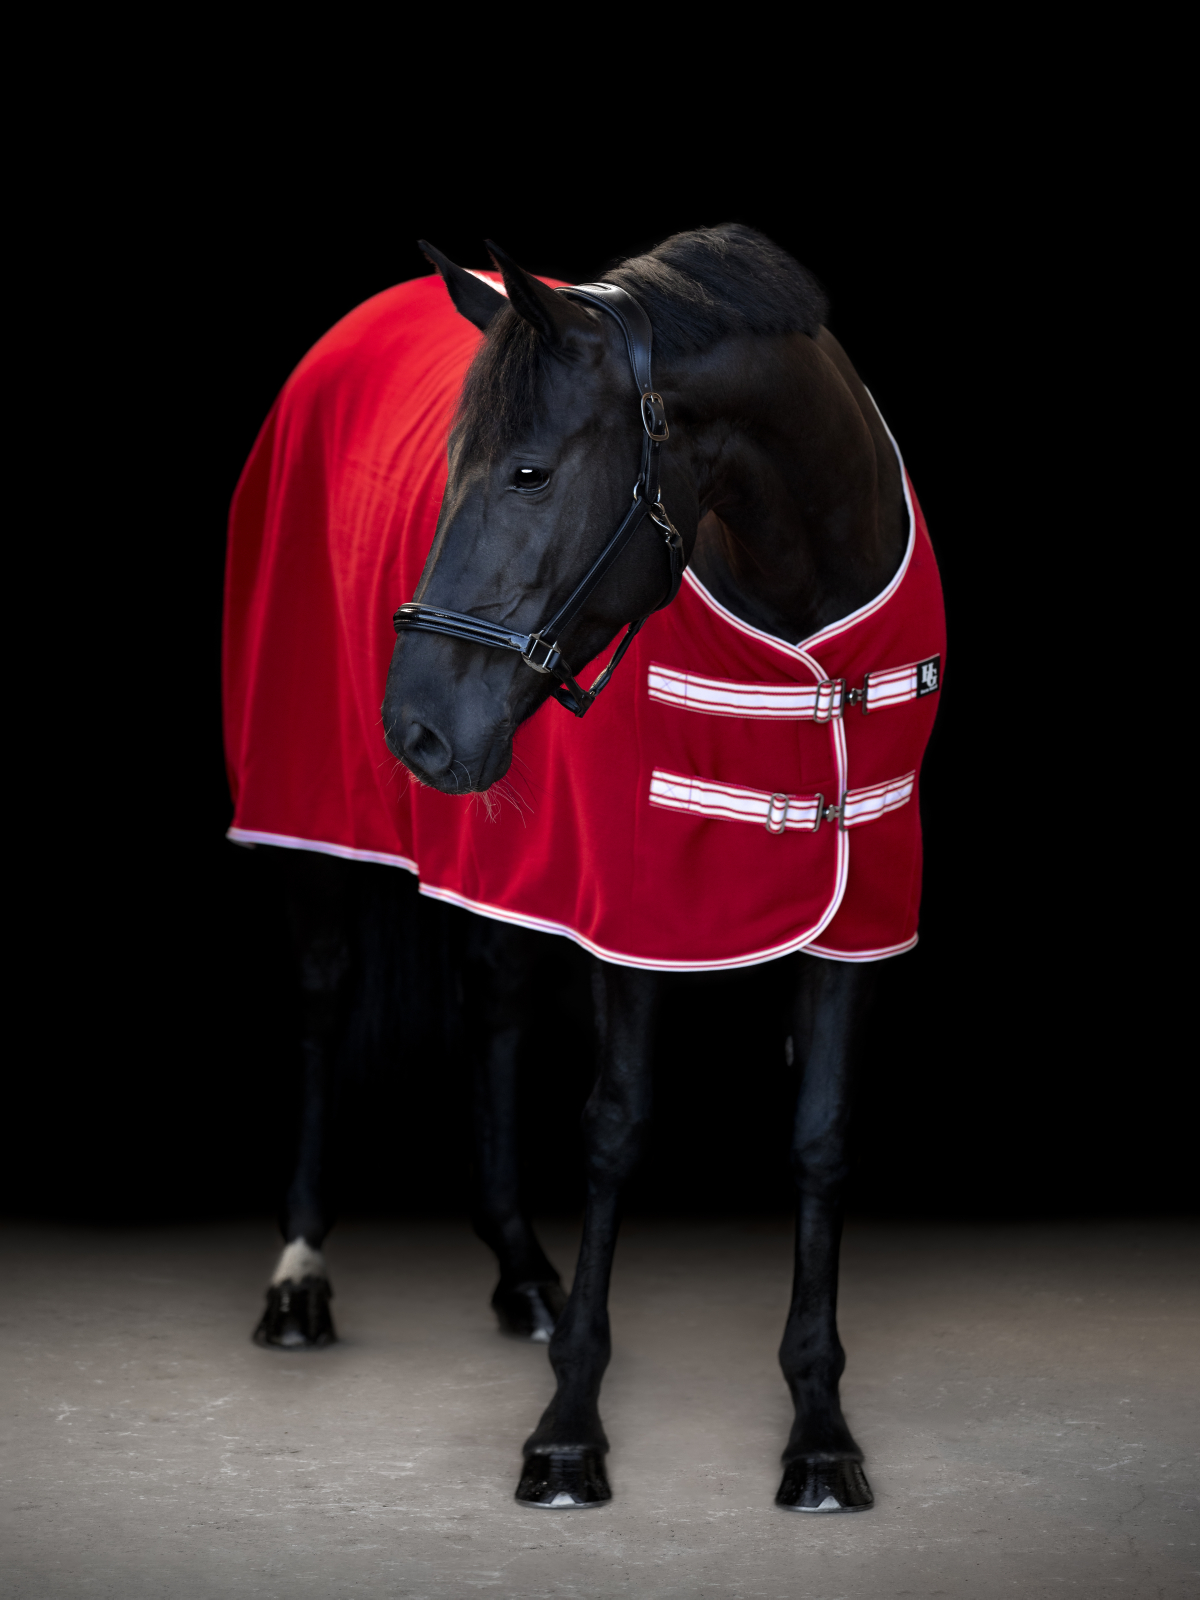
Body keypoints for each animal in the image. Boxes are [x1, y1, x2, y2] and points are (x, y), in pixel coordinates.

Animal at [224, 223, 944, 1513]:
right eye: (454, 466)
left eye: (530, 474)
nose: (414, 728)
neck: (801, 604)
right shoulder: (634, 903)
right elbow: (613, 1126)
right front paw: (567, 1426)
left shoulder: (861, 899)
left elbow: (820, 1137)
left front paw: (819, 1427)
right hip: (310, 812)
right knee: (320, 995)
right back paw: (299, 1279)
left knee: (495, 1004)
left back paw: (520, 1269)